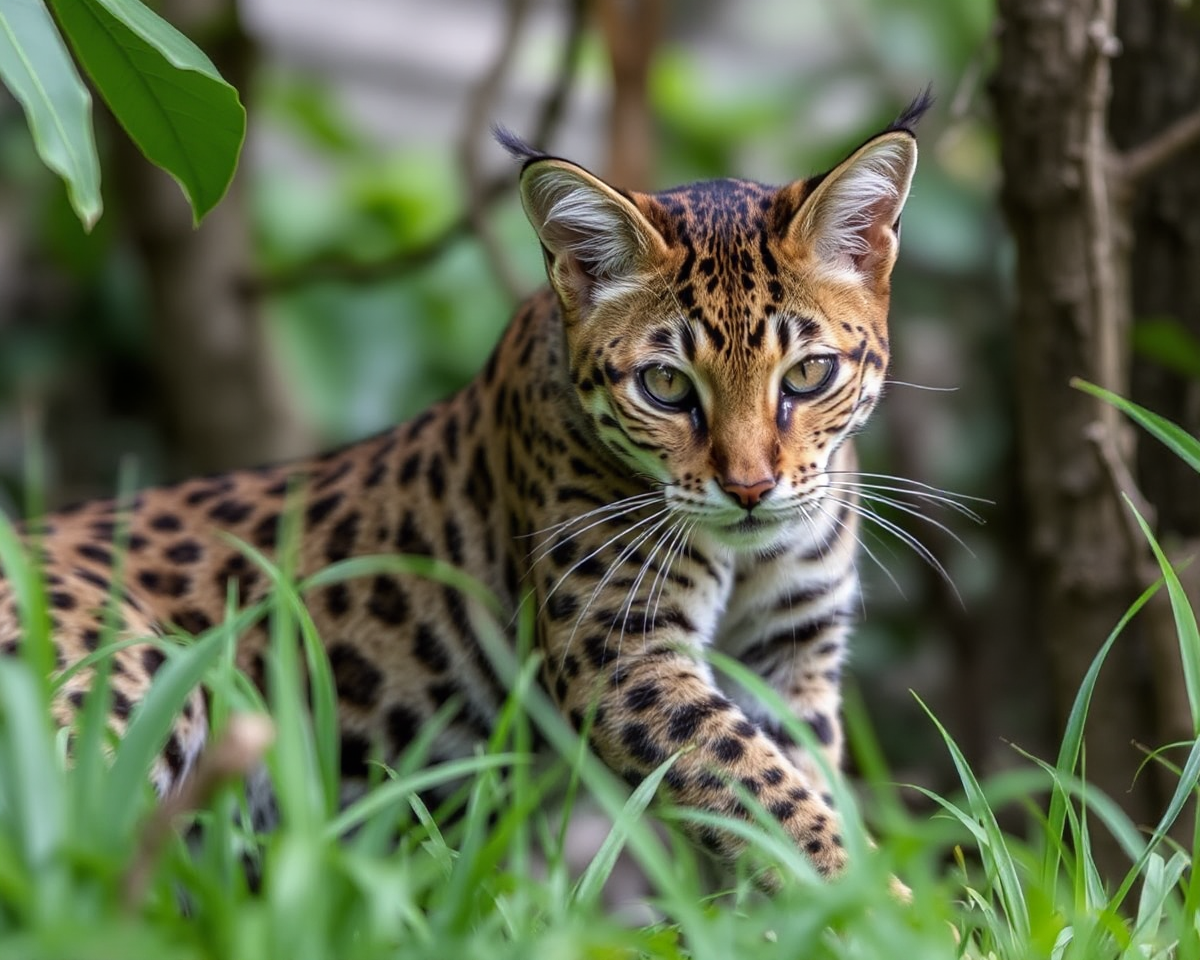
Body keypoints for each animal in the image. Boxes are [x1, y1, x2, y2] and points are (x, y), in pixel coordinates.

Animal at [0, 93, 931, 883]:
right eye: (667, 387)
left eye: (807, 375)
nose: (749, 488)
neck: (751, 557)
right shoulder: (622, 658)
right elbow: (762, 789)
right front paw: (885, 906)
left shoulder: (792, 654)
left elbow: (794, 783)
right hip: (135, 669)